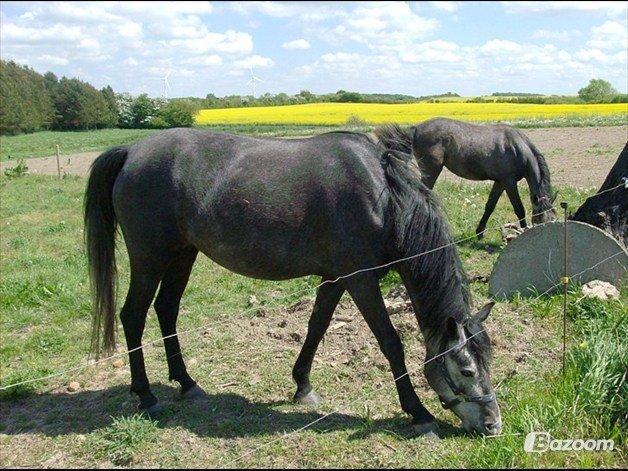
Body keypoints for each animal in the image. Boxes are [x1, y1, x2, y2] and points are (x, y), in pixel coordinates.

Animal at [84, 128, 500, 436]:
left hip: (182, 254)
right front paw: (418, 412)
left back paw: (187, 383)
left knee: (166, 310)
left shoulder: (336, 278)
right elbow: (390, 343)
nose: (493, 425)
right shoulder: (361, 281)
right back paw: (146, 396)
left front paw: (303, 386)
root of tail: (131, 151)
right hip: (149, 258)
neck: (383, 196)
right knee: (133, 316)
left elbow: (317, 327)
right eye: (467, 370)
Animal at [376, 116, 556, 238]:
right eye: (540, 219)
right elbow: (519, 208)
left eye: (554, 218)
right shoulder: (509, 183)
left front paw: (479, 232)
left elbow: (490, 206)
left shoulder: (499, 182)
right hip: (431, 171)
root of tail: (416, 128)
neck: (517, 147)